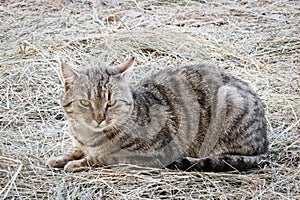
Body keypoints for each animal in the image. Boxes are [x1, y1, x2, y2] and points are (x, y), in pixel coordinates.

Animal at [45, 57, 268, 172]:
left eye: (110, 102)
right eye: (85, 102)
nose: (100, 118)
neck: (89, 136)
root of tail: (265, 142)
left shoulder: (152, 153)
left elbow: (103, 157)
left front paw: (78, 163)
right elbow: (75, 150)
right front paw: (60, 158)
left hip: (228, 103)